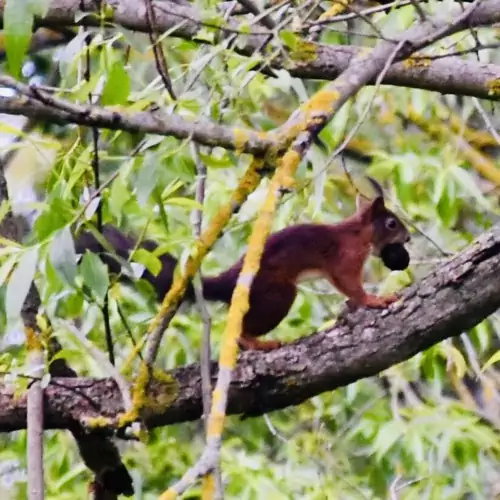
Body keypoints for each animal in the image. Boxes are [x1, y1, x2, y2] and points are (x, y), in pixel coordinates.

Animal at [75, 180, 410, 352]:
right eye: (392, 223)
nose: (407, 237)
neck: (357, 233)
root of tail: (229, 281)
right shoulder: (344, 258)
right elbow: (350, 285)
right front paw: (375, 300)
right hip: (277, 295)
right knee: (239, 332)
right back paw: (260, 343)